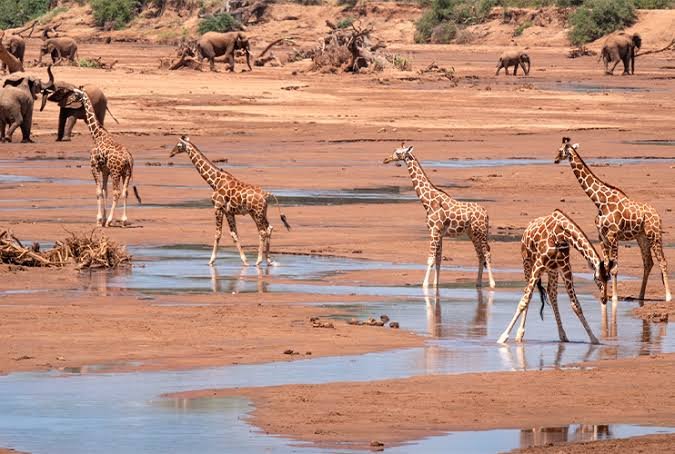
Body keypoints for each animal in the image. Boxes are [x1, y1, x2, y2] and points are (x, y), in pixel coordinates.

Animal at [71, 88, 138, 227]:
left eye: (75, 94)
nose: (69, 101)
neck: (97, 135)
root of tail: (129, 158)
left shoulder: (94, 166)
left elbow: (98, 192)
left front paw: (99, 219)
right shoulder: (105, 170)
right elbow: (104, 191)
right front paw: (103, 217)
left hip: (116, 172)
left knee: (117, 192)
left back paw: (109, 221)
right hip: (127, 173)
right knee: (125, 192)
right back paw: (123, 220)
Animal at [170, 136, 291, 266]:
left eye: (178, 145)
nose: (171, 153)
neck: (214, 182)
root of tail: (267, 194)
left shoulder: (217, 208)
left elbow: (218, 234)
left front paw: (211, 261)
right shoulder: (228, 212)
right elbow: (234, 234)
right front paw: (245, 261)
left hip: (257, 213)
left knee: (262, 232)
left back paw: (258, 261)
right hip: (260, 213)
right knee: (269, 228)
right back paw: (269, 260)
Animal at [383, 145, 495, 289]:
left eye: (397, 153)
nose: (386, 159)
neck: (427, 202)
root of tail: (486, 213)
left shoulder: (434, 231)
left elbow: (430, 259)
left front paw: (425, 284)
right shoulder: (439, 233)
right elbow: (438, 260)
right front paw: (435, 285)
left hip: (481, 232)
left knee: (487, 253)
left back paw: (492, 283)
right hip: (472, 233)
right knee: (480, 254)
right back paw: (478, 283)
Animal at [498, 210, 611, 344]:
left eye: (608, 279)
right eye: (597, 279)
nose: (604, 299)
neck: (560, 234)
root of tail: (526, 230)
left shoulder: (565, 267)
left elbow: (576, 305)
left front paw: (593, 338)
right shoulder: (539, 264)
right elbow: (524, 301)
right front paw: (503, 337)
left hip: (552, 271)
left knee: (551, 293)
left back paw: (562, 334)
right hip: (527, 263)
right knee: (527, 293)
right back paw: (520, 334)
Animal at [555, 136, 671, 304]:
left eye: (561, 150)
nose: (555, 159)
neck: (599, 201)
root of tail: (657, 215)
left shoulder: (613, 235)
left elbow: (614, 268)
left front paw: (615, 297)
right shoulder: (602, 236)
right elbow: (606, 266)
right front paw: (606, 296)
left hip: (654, 234)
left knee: (662, 261)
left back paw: (668, 296)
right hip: (641, 237)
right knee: (648, 262)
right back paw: (640, 297)